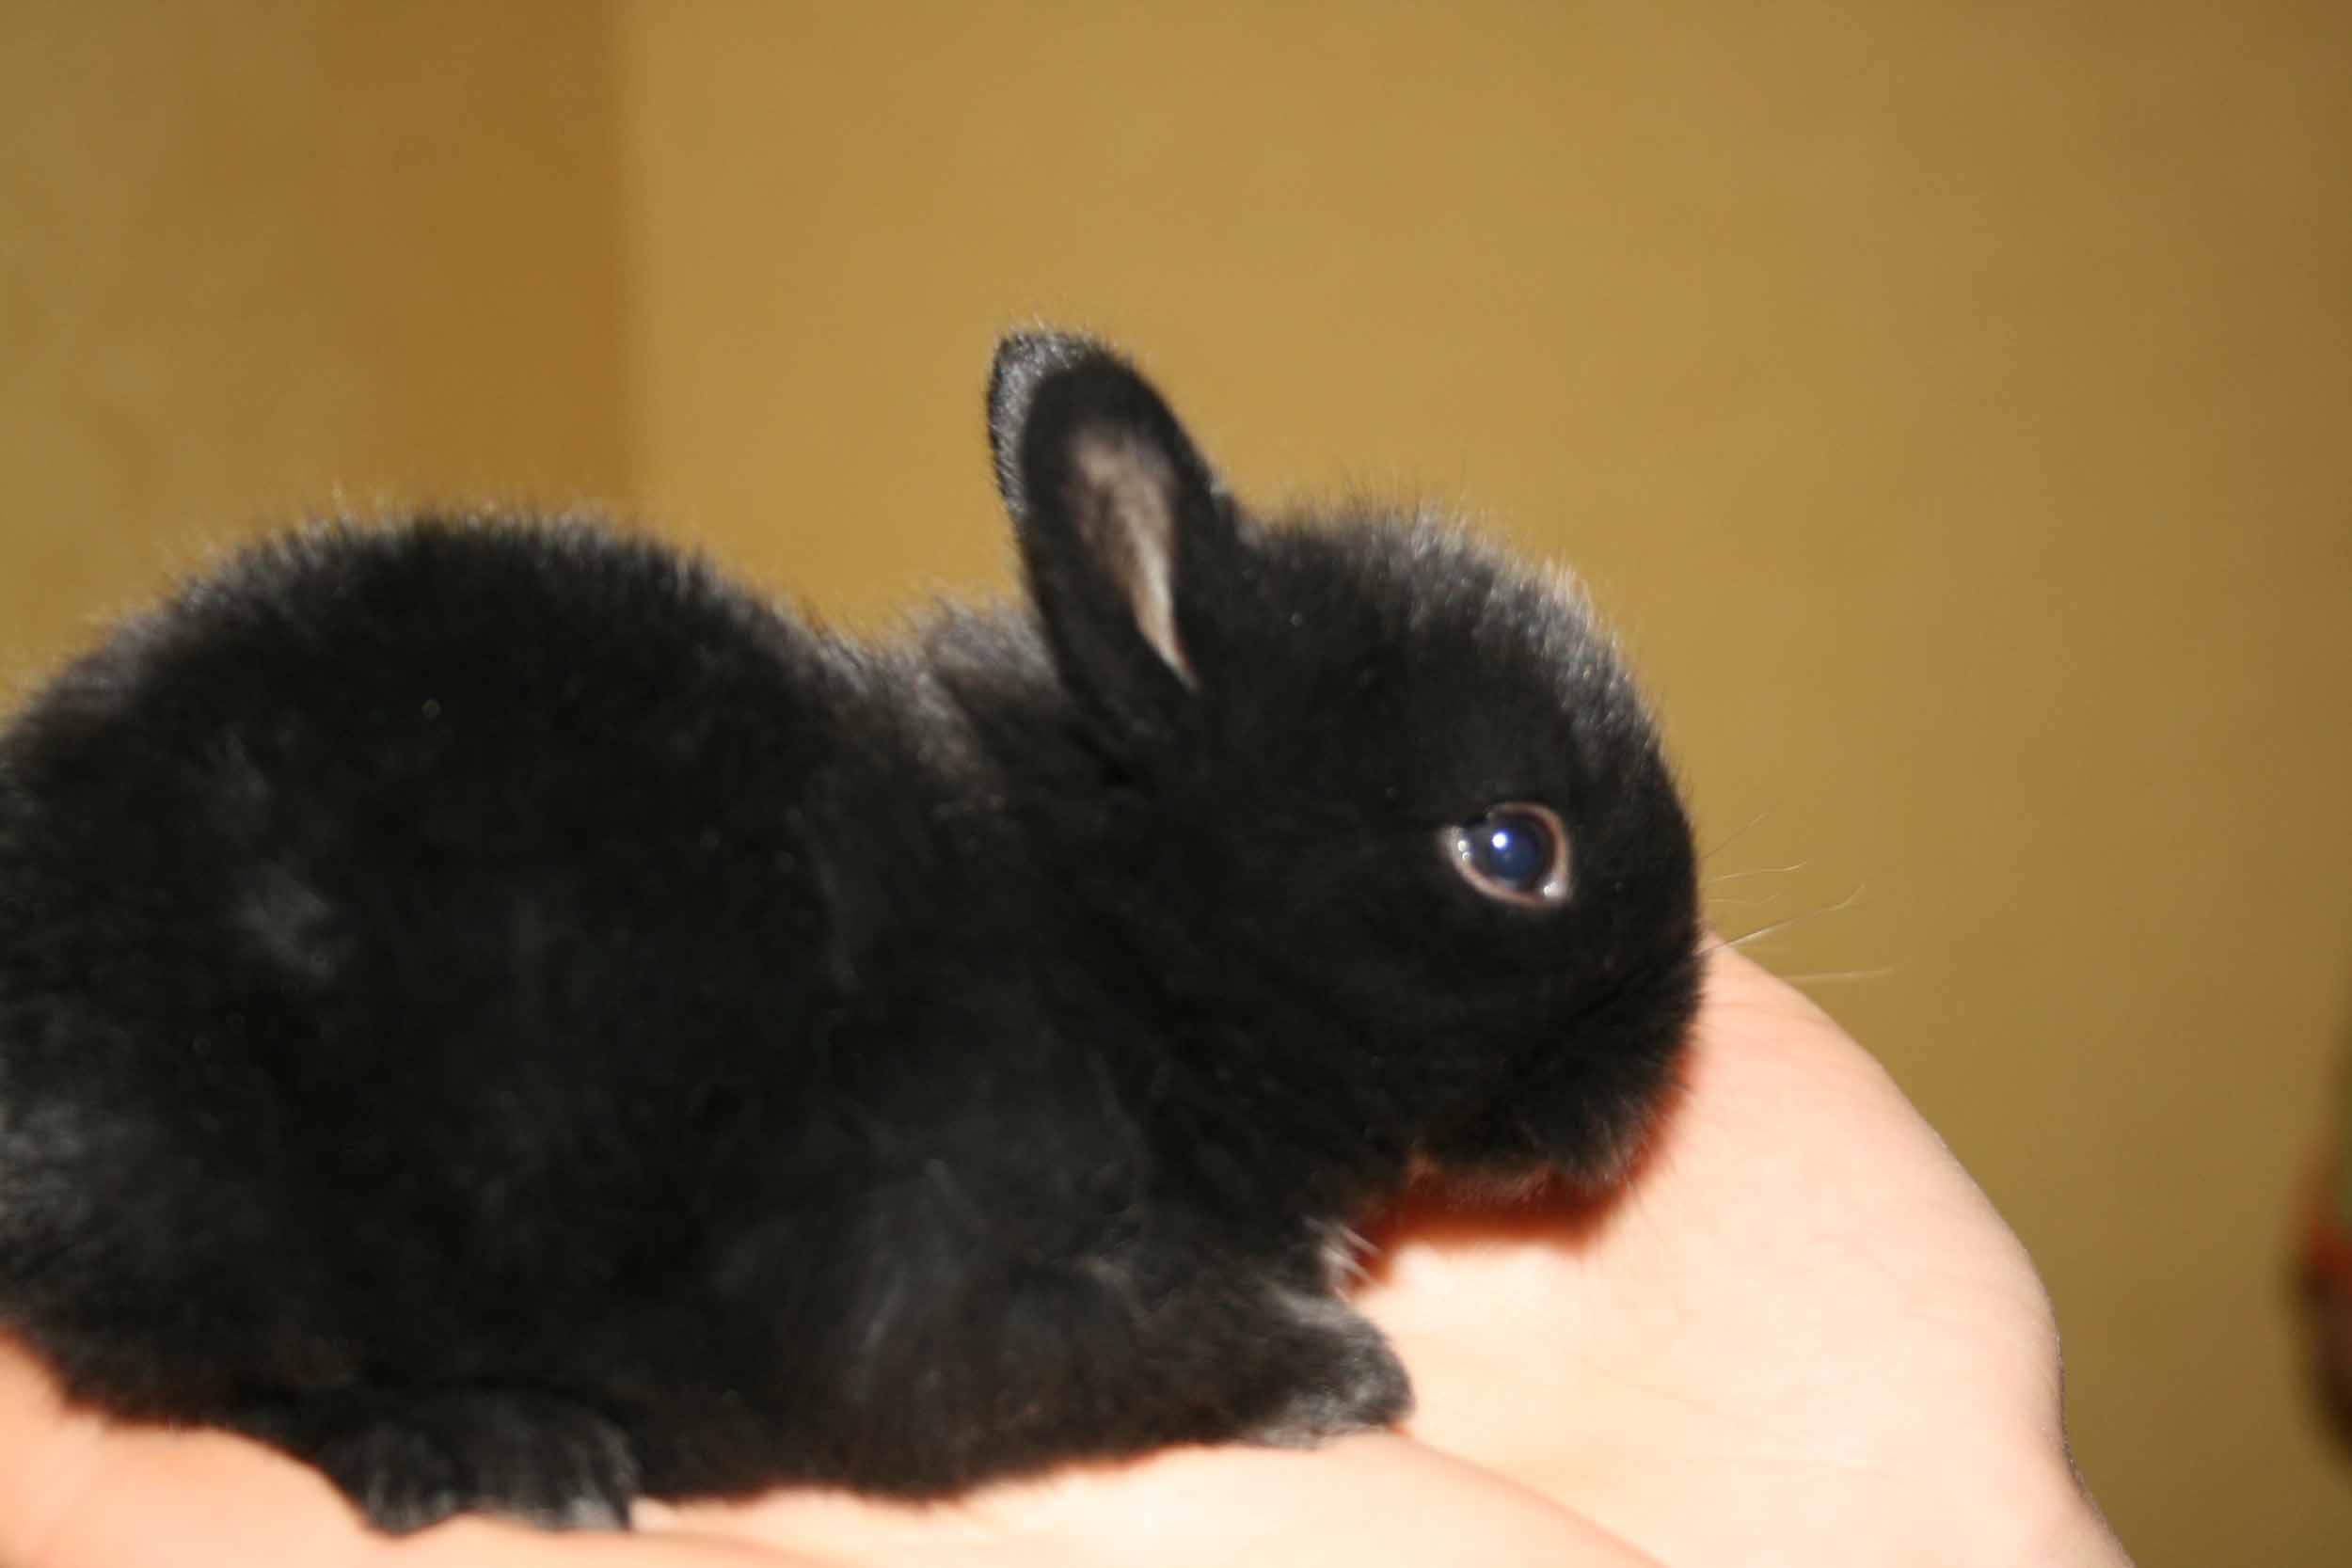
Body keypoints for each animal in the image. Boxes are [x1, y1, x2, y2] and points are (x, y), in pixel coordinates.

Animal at [0, 332, 1701, 1532]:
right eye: (1514, 846)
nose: (1666, 1051)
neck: (1123, 943)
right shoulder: (980, 1280)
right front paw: (1341, 1373)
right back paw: (505, 1448)